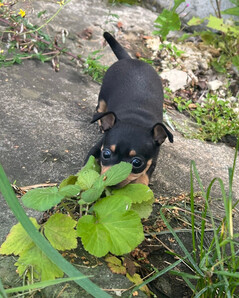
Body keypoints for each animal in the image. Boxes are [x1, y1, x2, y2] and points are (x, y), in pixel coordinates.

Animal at [87, 32, 173, 186]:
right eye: (106, 154)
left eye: (136, 163)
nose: (111, 182)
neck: (136, 120)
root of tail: (129, 59)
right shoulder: (98, 147)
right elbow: (86, 168)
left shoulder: (153, 160)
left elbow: (144, 177)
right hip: (103, 96)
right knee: (100, 109)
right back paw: (102, 124)